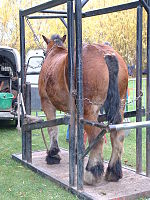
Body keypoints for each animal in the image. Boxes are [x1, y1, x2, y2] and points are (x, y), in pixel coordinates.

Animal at [38, 34, 127, 184]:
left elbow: (52, 129)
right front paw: (75, 154)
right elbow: (74, 130)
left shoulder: (47, 103)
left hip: (90, 111)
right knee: (118, 135)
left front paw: (53, 154)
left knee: (96, 138)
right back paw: (113, 171)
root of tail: (106, 55)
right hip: (120, 106)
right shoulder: (74, 110)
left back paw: (92, 171)